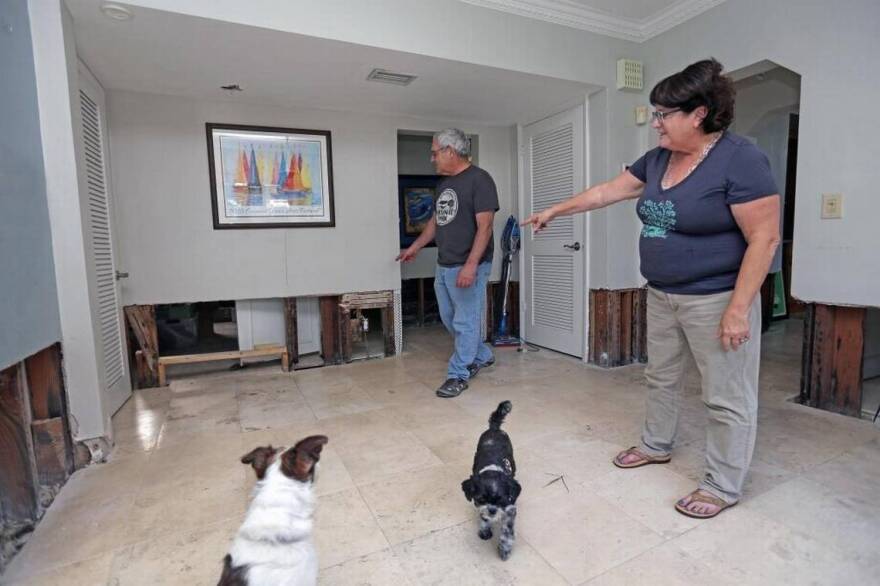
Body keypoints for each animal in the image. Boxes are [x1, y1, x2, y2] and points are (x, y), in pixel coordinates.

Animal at [464, 400, 520, 560]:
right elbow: (483, 517)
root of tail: (494, 429)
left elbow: (507, 530)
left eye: (501, 499)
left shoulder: (510, 508)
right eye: (481, 499)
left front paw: (504, 548)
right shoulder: (481, 507)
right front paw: (485, 531)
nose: (492, 510)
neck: (493, 468)